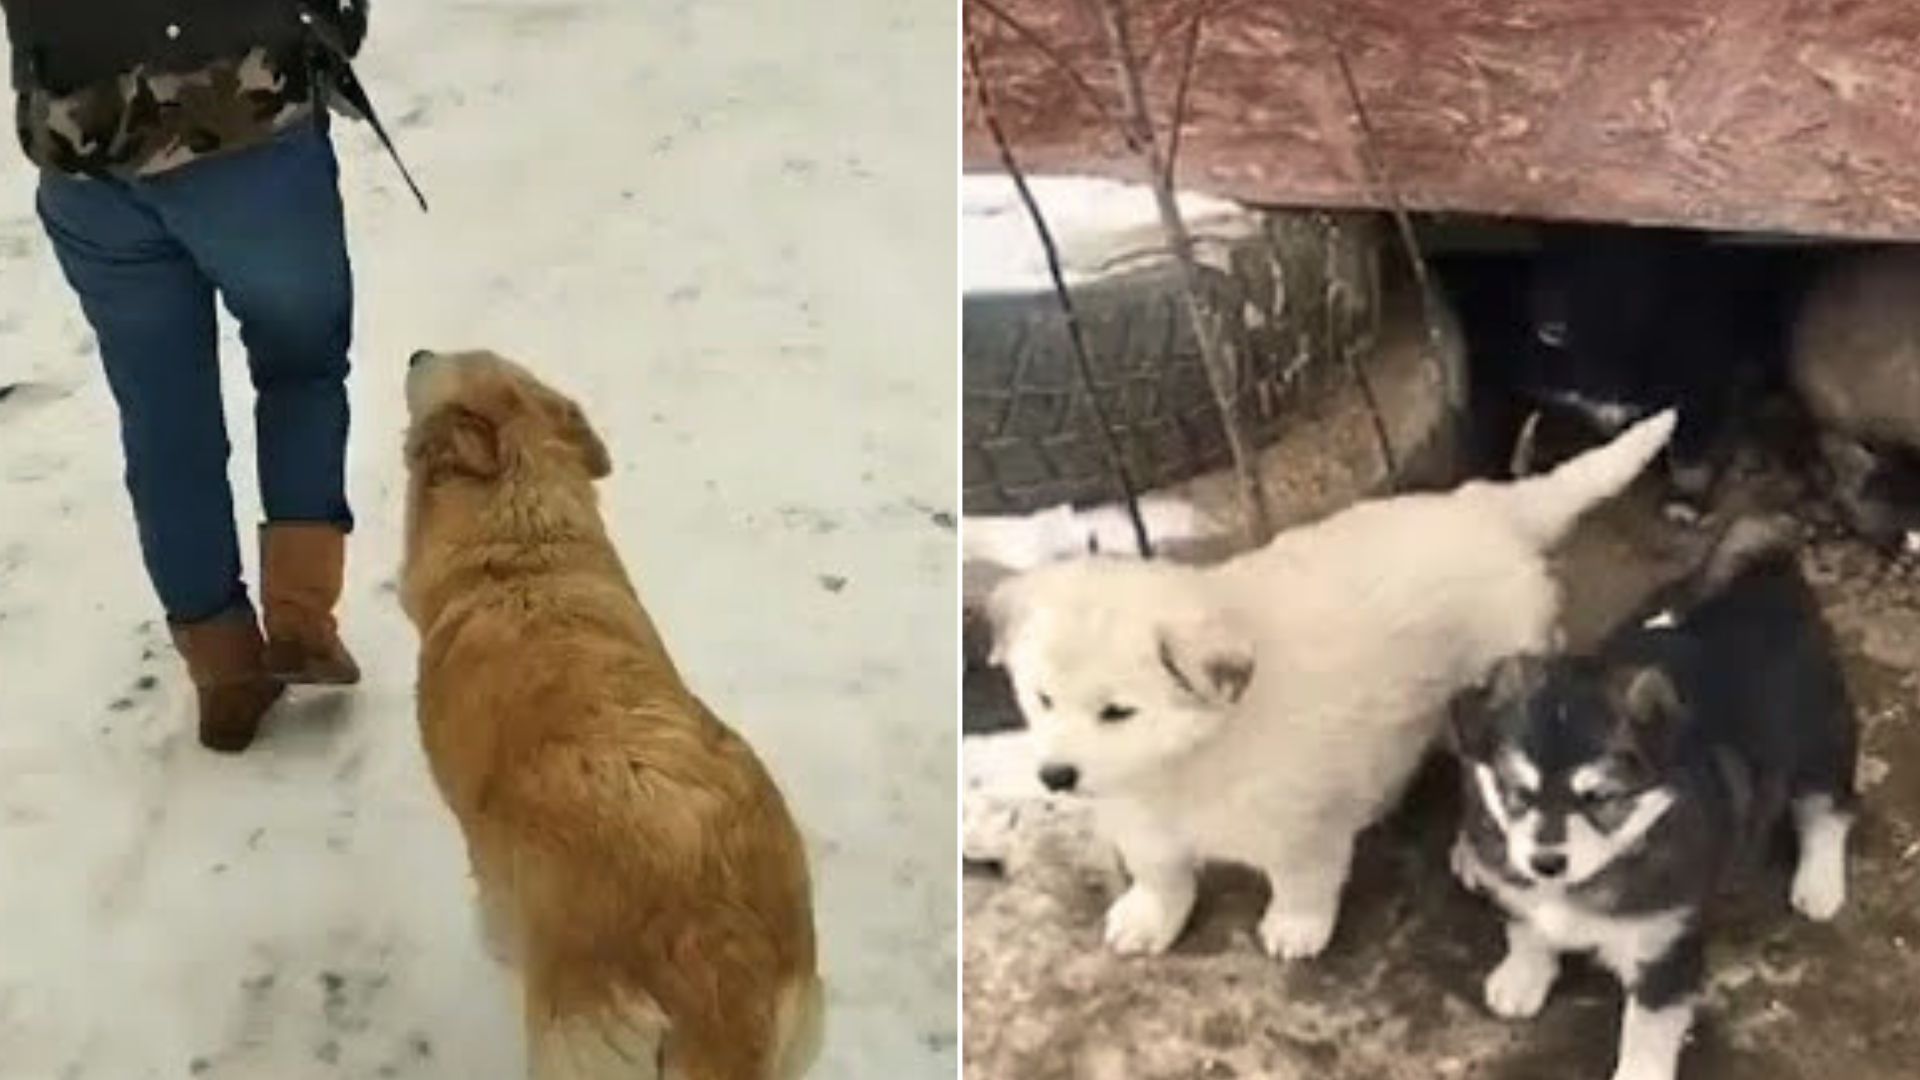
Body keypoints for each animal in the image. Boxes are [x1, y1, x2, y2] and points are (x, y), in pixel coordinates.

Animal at [983, 407, 1674, 953]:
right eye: (1041, 700)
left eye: (1117, 712)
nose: (1055, 776)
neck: (1187, 759)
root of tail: (1484, 504)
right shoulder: (1139, 816)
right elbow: (1160, 872)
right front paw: (1150, 918)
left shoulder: (1303, 822)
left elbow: (1301, 880)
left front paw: (1295, 929)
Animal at [1451, 518, 1858, 1068]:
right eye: (1518, 792)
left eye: (1600, 798)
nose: (1546, 863)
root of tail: (1770, 577)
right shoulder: (1519, 891)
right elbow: (1526, 929)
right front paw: (1521, 979)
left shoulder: (1666, 950)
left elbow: (1646, 1035)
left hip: (1821, 744)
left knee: (1827, 812)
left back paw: (1819, 885)